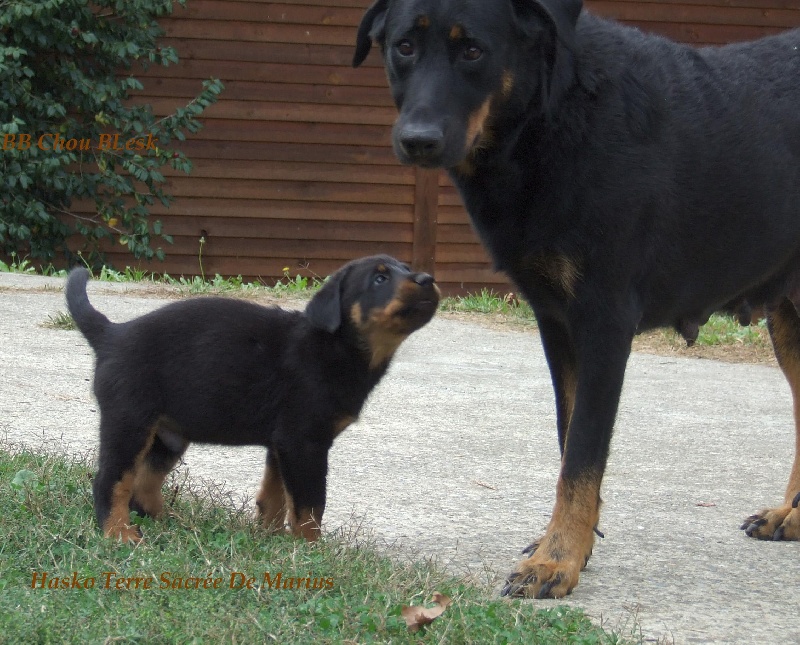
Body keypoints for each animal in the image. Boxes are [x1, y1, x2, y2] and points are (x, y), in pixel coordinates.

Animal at [65, 256, 440, 544]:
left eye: (406, 268)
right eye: (380, 278)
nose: (428, 279)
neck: (340, 347)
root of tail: (112, 334)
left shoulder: (281, 444)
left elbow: (275, 498)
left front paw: (269, 539)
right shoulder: (304, 442)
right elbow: (310, 504)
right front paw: (309, 548)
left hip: (168, 437)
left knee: (143, 485)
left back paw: (170, 523)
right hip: (130, 422)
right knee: (111, 481)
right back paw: (118, 533)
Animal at [354, 0, 800, 600]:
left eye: (472, 50)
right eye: (404, 47)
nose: (417, 140)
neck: (550, 120)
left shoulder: (604, 320)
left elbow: (583, 453)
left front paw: (557, 559)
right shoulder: (556, 321)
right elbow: (568, 439)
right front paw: (571, 544)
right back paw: (791, 515)